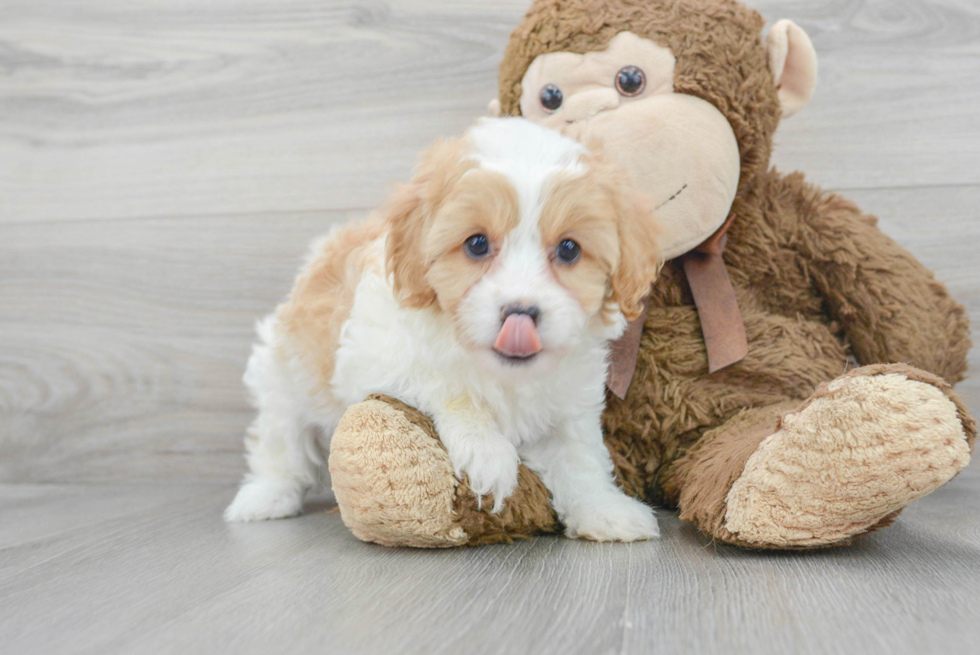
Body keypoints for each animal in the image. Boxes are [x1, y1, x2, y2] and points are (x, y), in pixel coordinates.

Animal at [226, 118, 664, 544]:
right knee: (279, 442)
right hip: (283, 374)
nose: (520, 312)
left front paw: (603, 509)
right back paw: (264, 497)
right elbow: (443, 385)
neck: (501, 373)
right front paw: (488, 453)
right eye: (476, 244)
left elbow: (580, 458)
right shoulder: (375, 354)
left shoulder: (570, 404)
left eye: (570, 249)